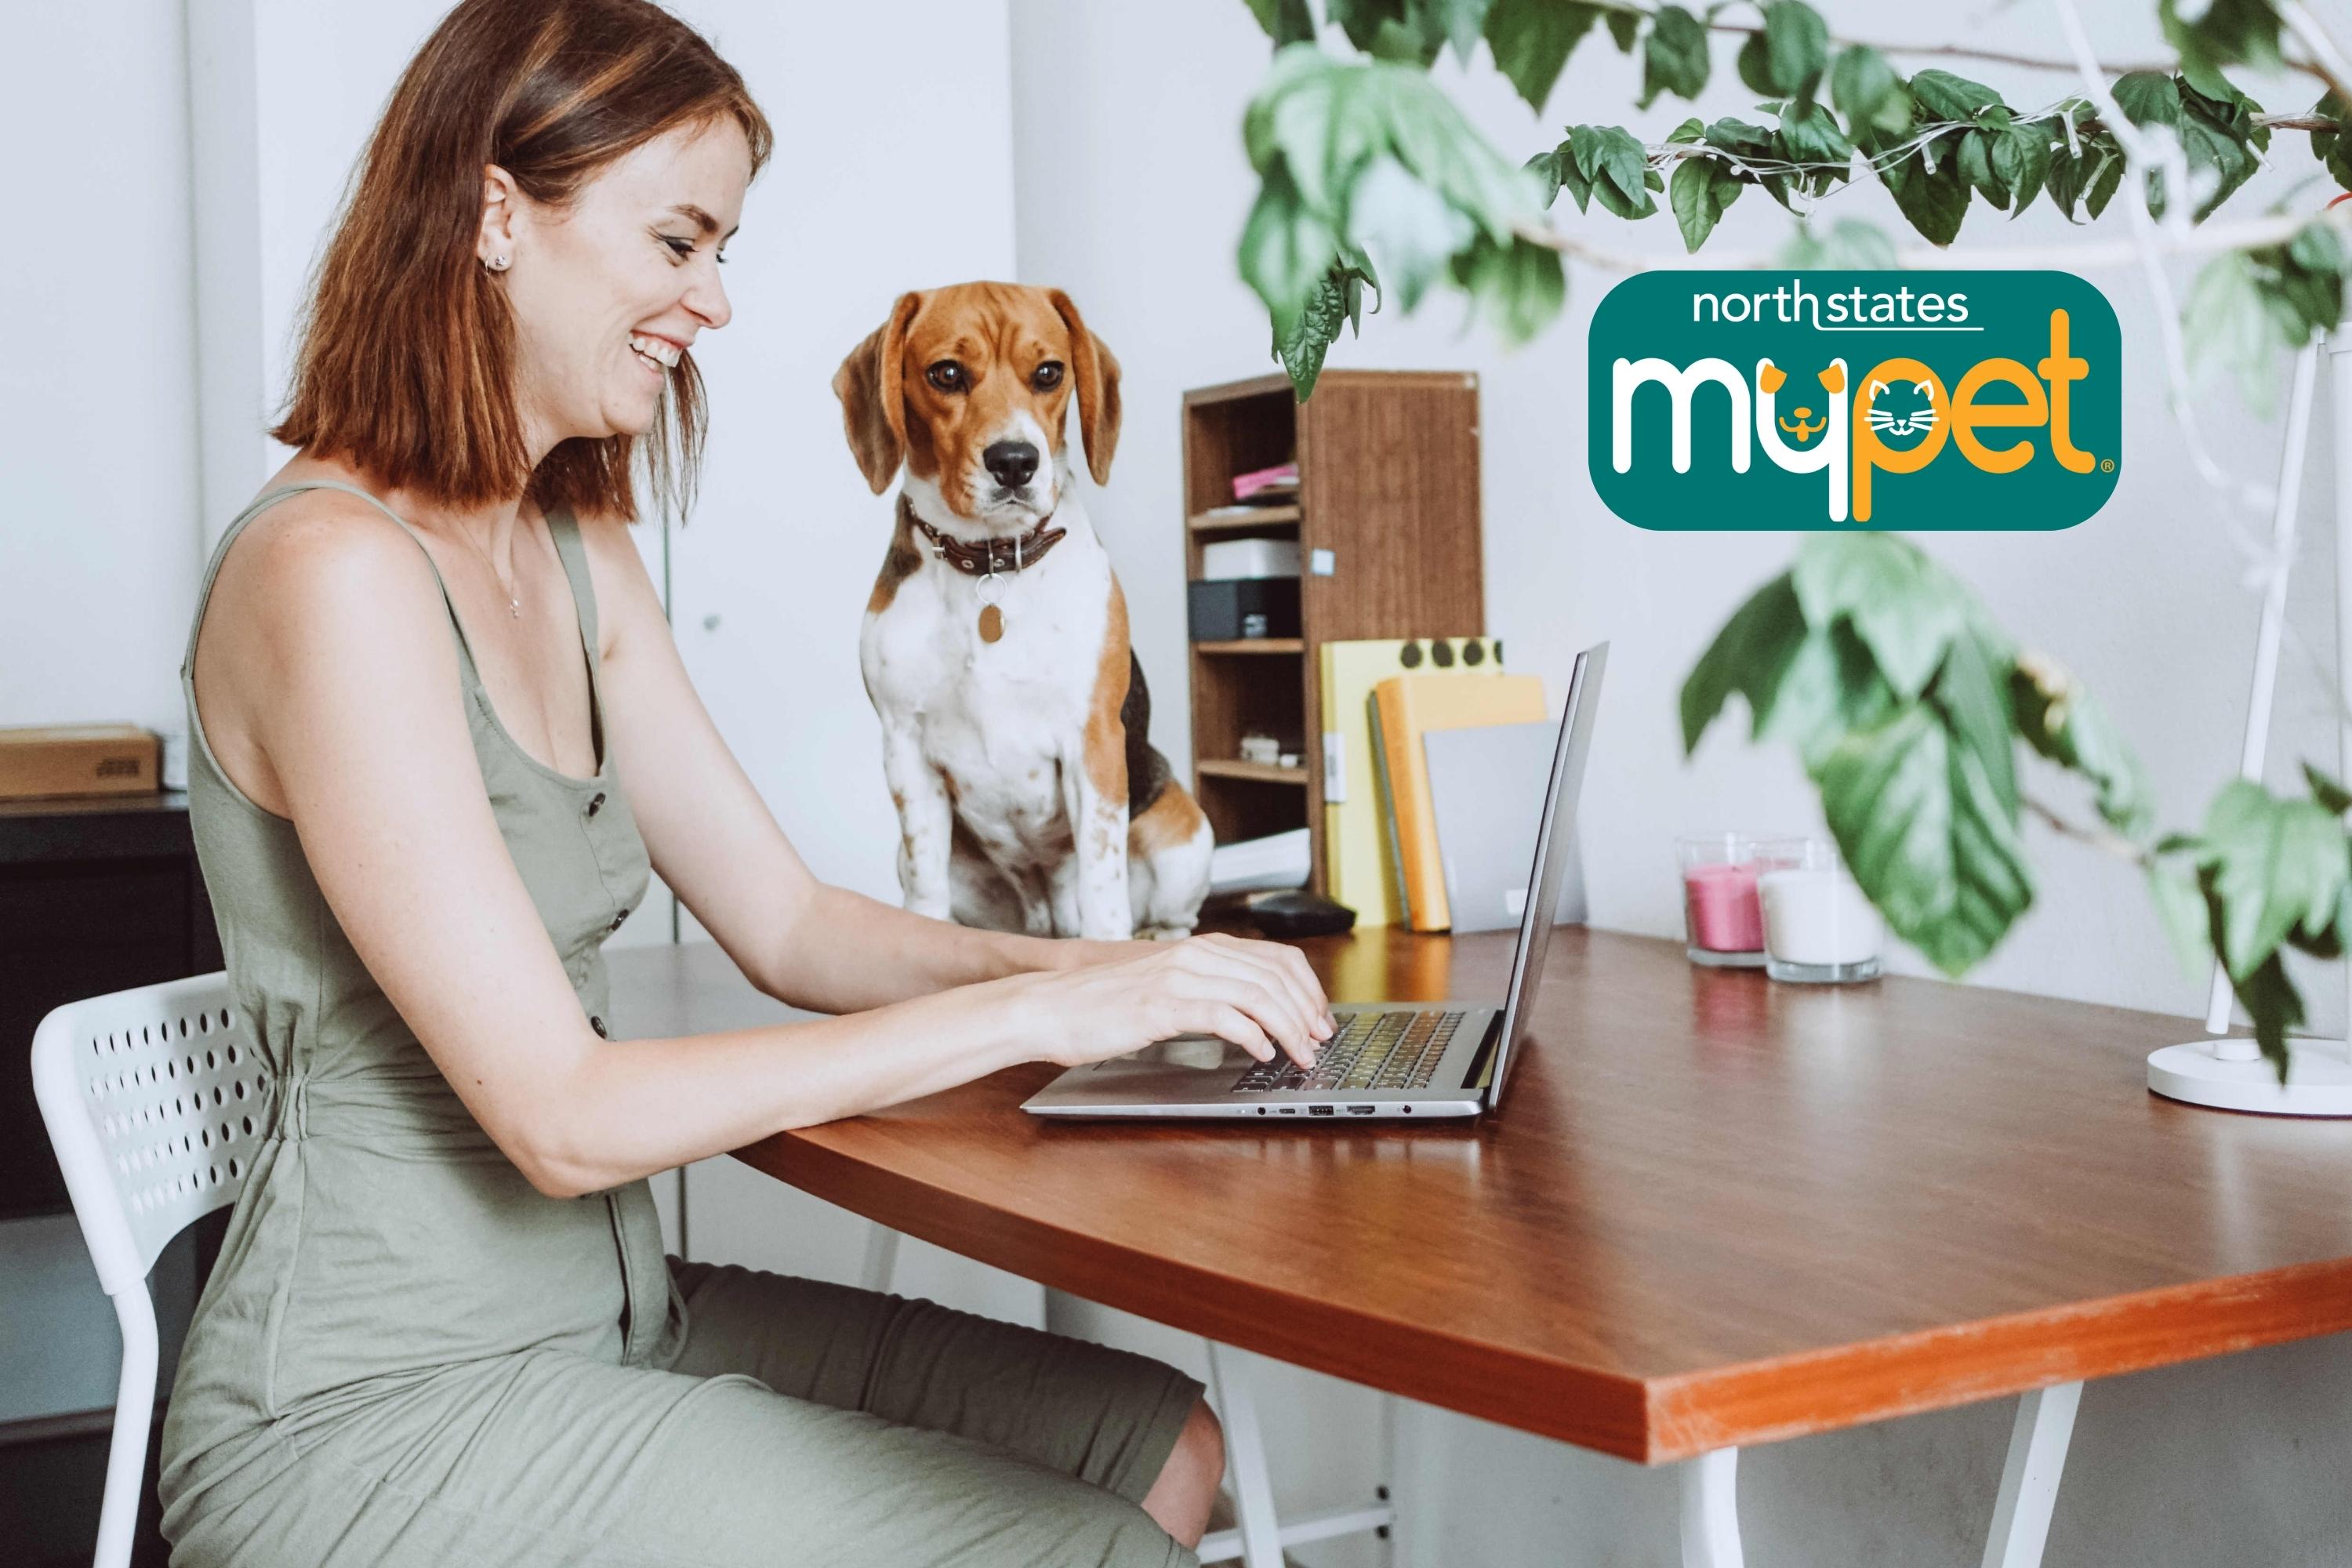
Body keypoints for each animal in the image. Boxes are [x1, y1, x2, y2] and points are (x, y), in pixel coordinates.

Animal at [837, 278, 1214, 945]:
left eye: (1048, 373)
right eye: (946, 374)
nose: (1014, 461)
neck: (990, 567)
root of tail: (1045, 918)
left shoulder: (1093, 741)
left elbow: (1102, 882)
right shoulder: (905, 748)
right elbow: (927, 883)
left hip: (1186, 833)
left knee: (1172, 917)